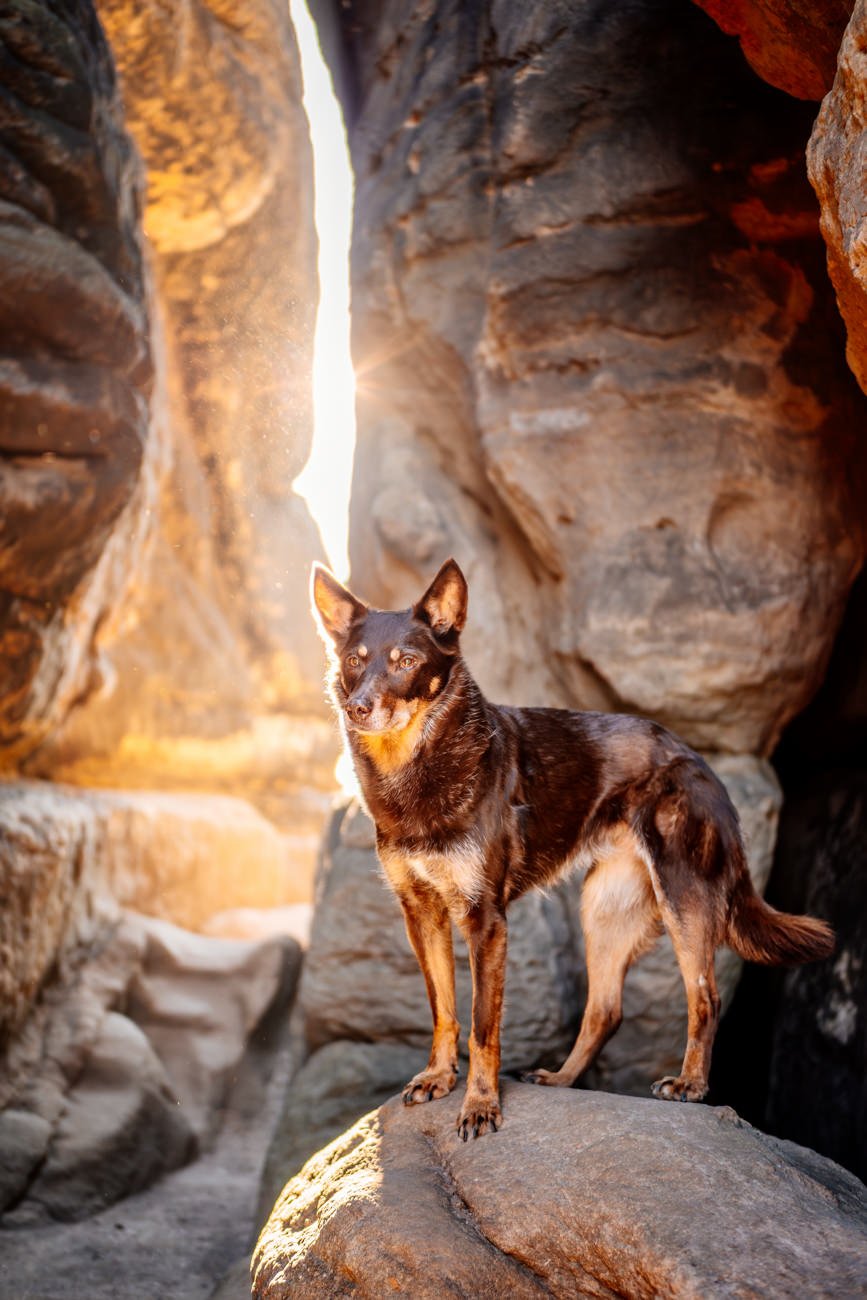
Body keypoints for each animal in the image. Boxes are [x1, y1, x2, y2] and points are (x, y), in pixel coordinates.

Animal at [311, 556, 831, 1138]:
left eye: (406, 661)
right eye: (354, 661)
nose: (357, 708)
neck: (417, 770)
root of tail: (702, 764)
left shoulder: (486, 920)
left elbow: (483, 1026)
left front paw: (481, 1105)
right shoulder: (421, 913)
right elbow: (443, 1008)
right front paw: (439, 1077)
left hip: (684, 902)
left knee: (705, 998)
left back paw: (690, 1085)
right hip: (603, 910)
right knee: (605, 1009)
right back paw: (561, 1080)